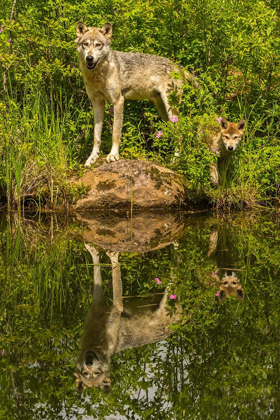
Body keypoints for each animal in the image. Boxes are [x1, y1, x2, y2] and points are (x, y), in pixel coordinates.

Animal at [74, 21, 197, 166]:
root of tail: (179, 66)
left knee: (180, 134)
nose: (89, 58)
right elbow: (96, 136)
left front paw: (113, 155)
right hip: (163, 112)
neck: (98, 75)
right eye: (85, 44)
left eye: (98, 44)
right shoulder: (97, 103)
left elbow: (115, 133)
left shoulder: (118, 101)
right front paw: (92, 158)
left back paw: (175, 160)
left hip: (170, 110)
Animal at [74, 244, 183, 396]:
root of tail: (185, 320)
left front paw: (98, 252)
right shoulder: (106, 305)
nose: (88, 361)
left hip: (166, 292)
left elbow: (106, 271)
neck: (96, 342)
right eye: (85, 373)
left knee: (176, 265)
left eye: (97, 373)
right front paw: (104, 255)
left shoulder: (107, 304)